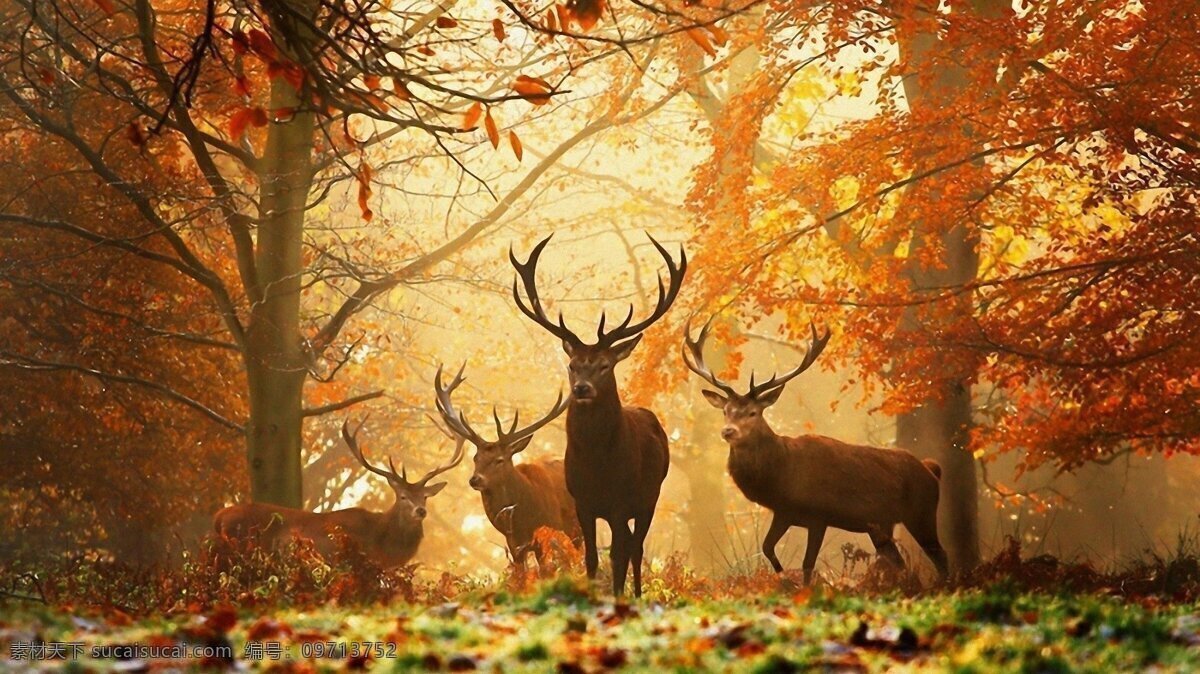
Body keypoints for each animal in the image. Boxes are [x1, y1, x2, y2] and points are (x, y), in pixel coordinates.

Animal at [433, 364, 582, 575]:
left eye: (499, 460)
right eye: (476, 458)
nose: (475, 479)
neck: (523, 519)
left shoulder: (549, 531)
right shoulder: (513, 544)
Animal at [510, 233, 685, 597]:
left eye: (605, 365)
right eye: (573, 365)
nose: (582, 389)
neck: (597, 465)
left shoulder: (620, 501)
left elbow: (618, 555)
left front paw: (618, 597)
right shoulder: (583, 502)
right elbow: (591, 557)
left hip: (650, 496)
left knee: (636, 547)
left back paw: (636, 594)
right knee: (630, 545)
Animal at [682, 319, 949, 585]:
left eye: (752, 412)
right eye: (725, 410)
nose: (728, 431)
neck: (782, 476)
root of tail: (931, 469)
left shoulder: (819, 515)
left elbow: (807, 564)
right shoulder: (784, 512)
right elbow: (767, 547)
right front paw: (783, 579)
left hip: (922, 512)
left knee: (941, 556)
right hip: (881, 525)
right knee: (899, 562)